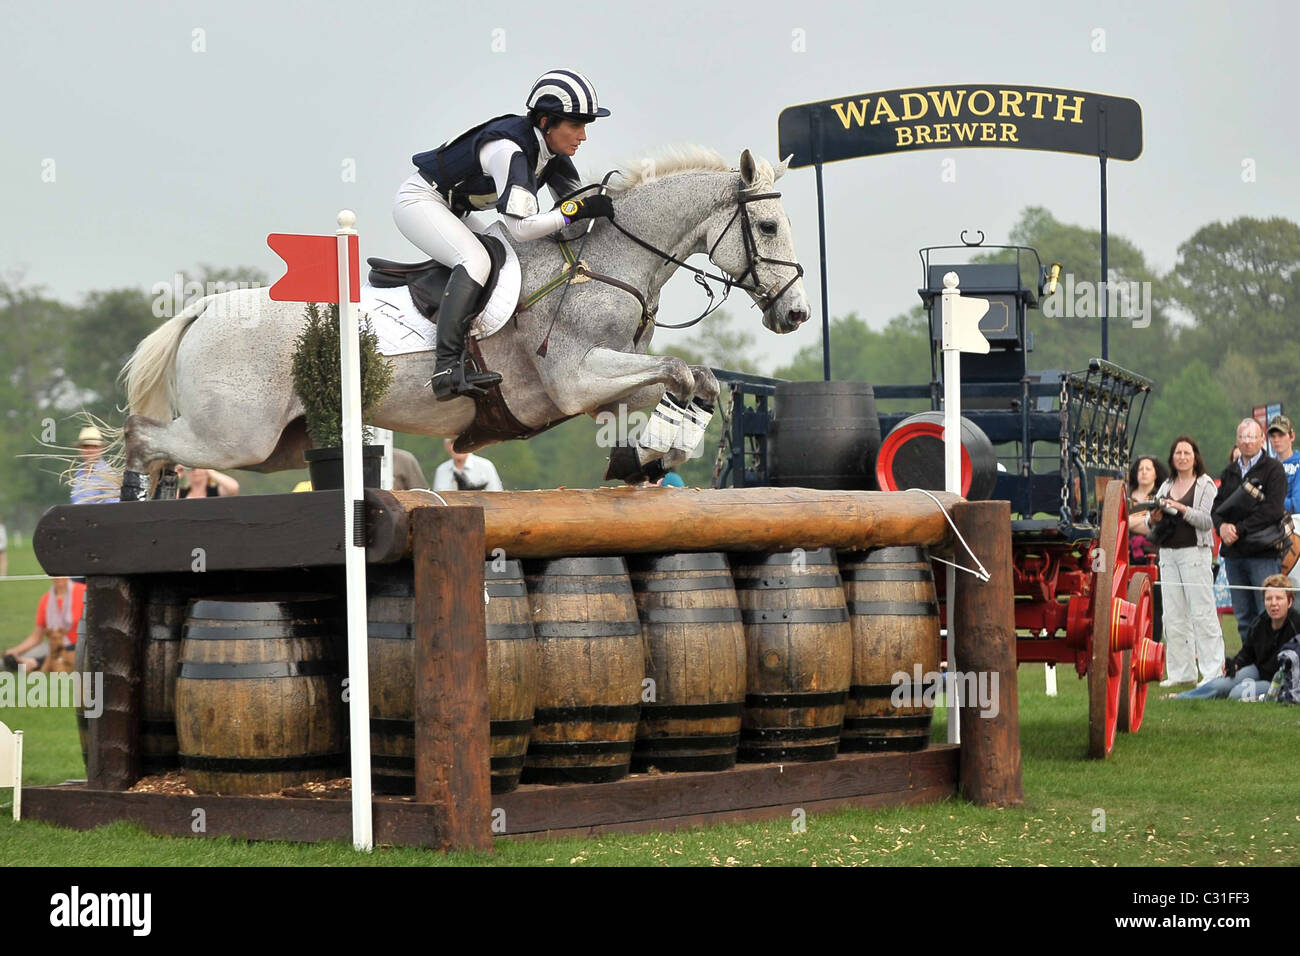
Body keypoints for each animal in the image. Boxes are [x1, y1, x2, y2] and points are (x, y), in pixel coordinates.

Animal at [124, 149, 811, 494]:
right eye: (767, 227)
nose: (797, 313)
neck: (602, 264)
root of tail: (206, 307)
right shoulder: (573, 379)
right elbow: (676, 370)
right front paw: (653, 450)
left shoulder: (605, 377)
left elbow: (691, 381)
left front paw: (647, 456)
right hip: (238, 435)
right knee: (145, 438)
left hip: (277, 447)